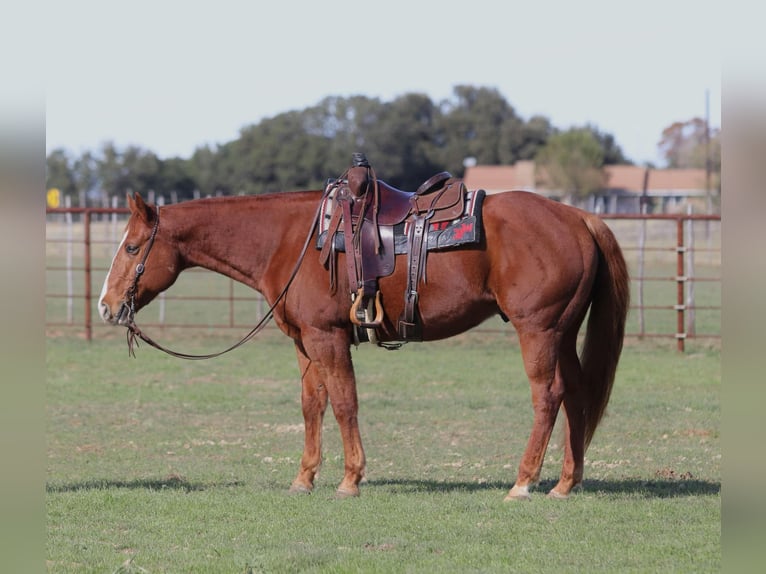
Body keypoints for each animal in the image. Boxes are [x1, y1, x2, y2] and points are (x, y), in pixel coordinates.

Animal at [98, 188, 629, 500]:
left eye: (131, 247)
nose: (106, 306)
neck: (291, 239)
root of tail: (579, 217)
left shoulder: (327, 337)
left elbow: (344, 403)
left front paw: (351, 479)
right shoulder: (305, 342)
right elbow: (312, 405)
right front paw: (304, 478)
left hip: (538, 330)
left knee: (548, 396)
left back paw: (523, 483)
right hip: (563, 332)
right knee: (577, 396)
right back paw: (565, 483)